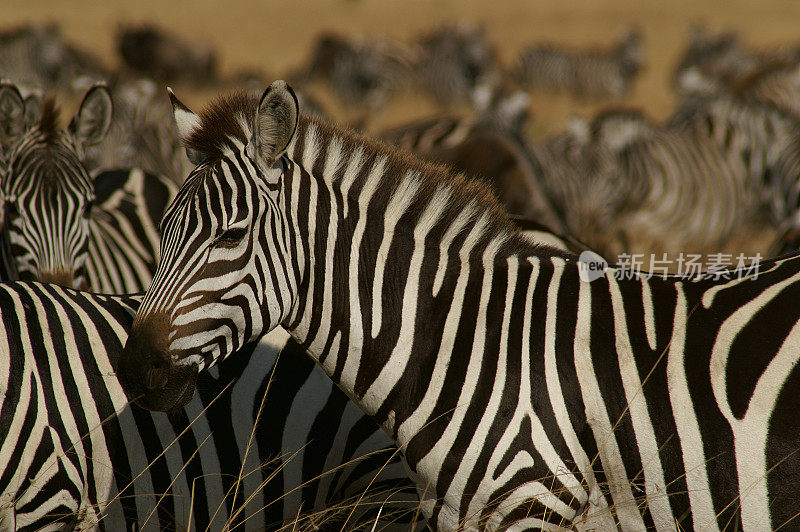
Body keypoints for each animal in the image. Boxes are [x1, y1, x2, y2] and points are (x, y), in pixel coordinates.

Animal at [512, 28, 644, 98]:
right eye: (628, 49)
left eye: (642, 49)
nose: (637, 67)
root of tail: (531, 49)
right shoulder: (601, 93)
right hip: (537, 84)